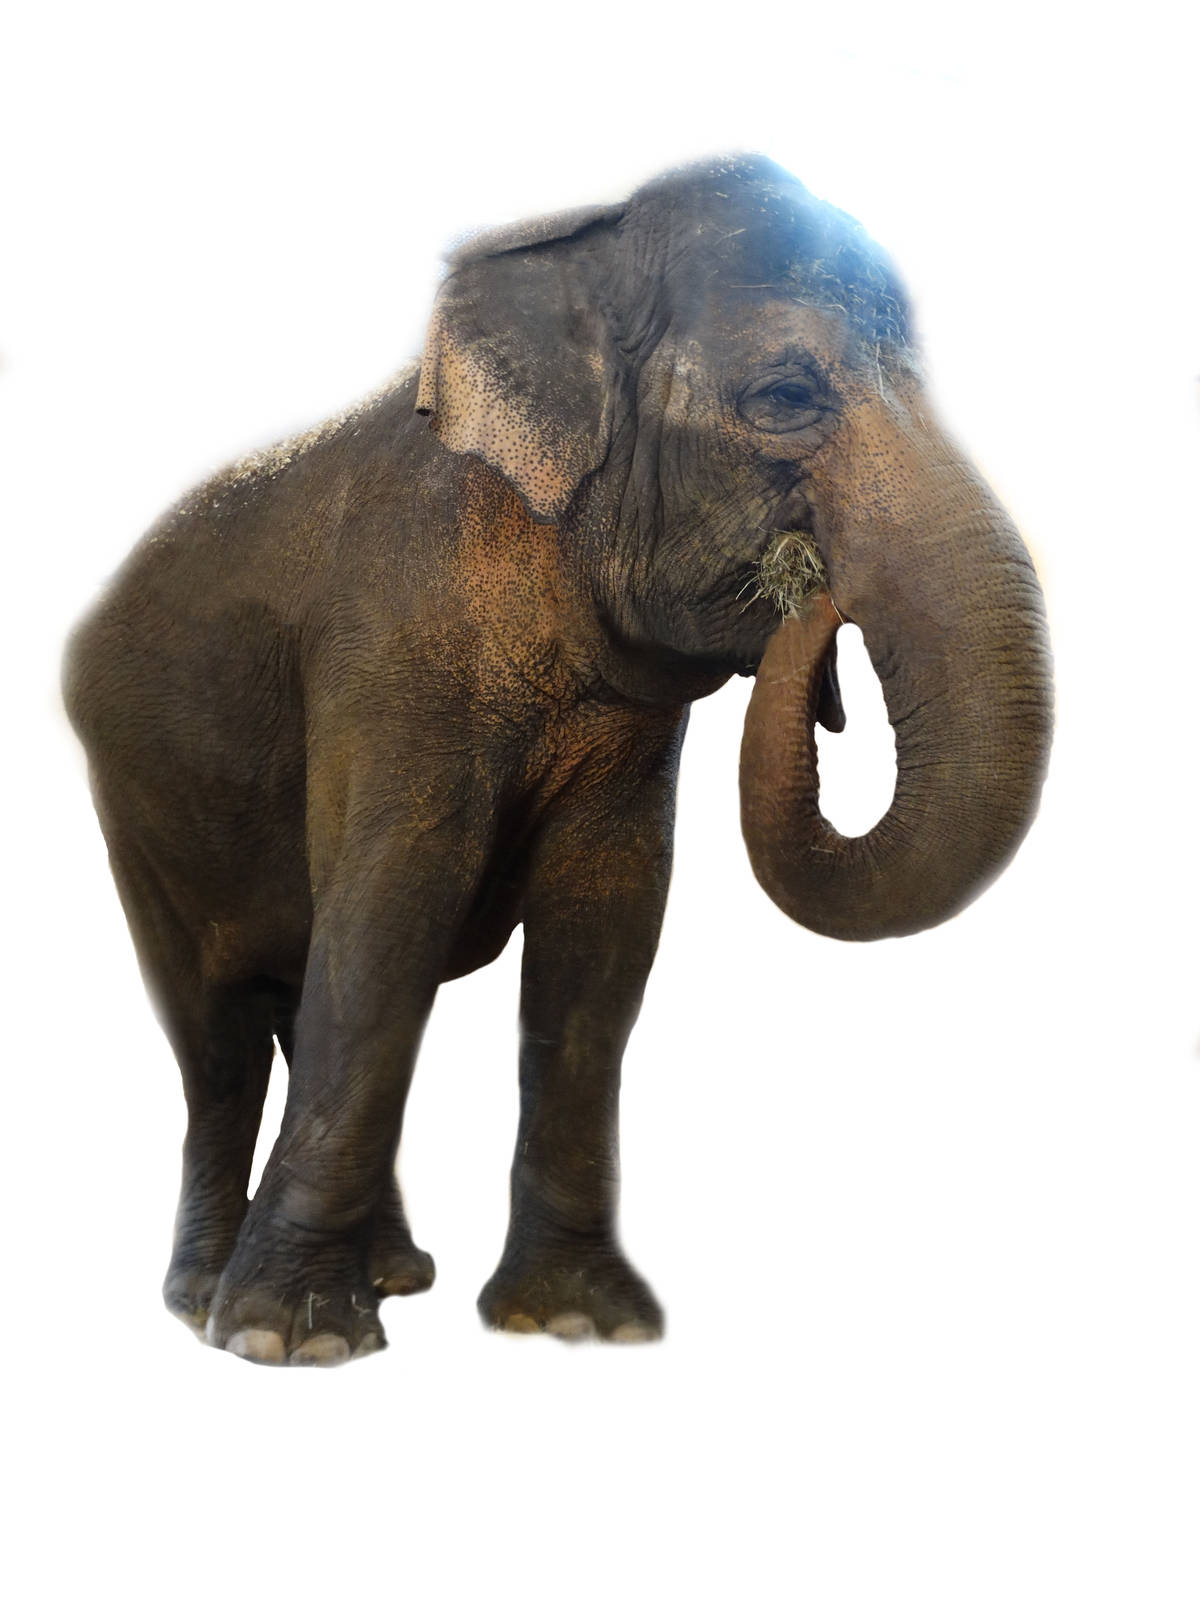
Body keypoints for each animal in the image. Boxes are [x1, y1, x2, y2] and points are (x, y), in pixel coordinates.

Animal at [63, 154, 1053, 1365]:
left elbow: (604, 931)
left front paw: (580, 1321)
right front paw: (290, 1342)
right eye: (784, 398)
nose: (811, 593)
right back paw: (208, 1299)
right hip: (131, 802)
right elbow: (395, 906)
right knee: (217, 1033)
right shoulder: (394, 640)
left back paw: (391, 1274)